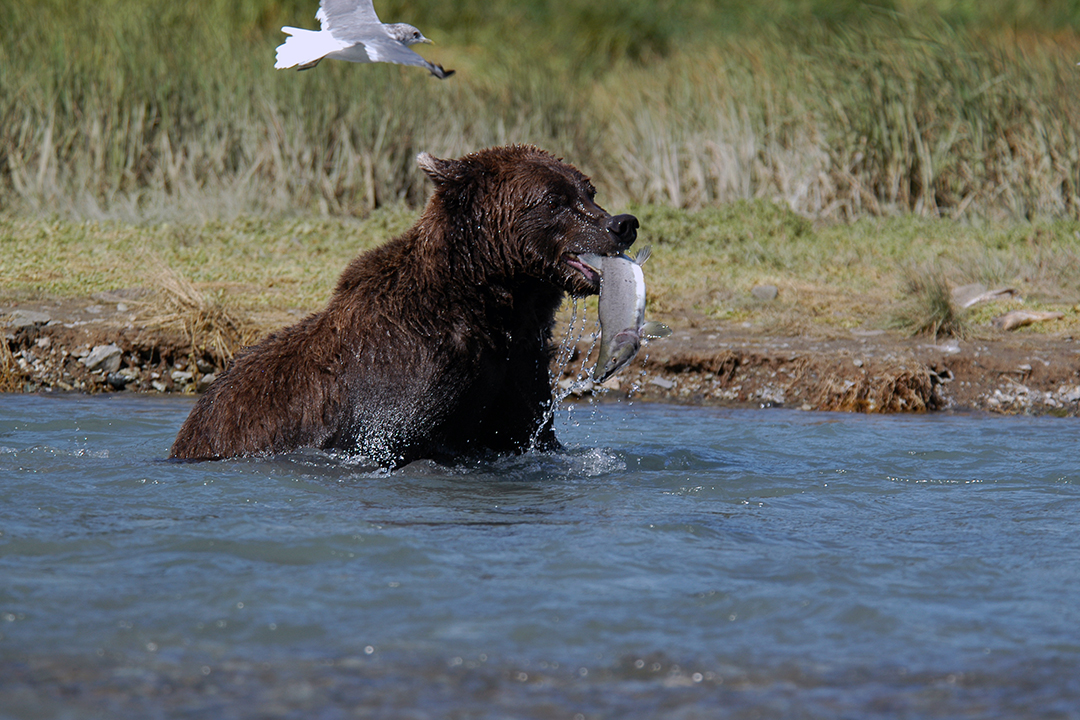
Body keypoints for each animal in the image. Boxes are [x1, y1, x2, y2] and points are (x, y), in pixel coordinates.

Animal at [169, 145, 638, 467]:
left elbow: (529, 431)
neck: (492, 303)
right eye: (553, 199)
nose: (622, 223)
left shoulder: (519, 367)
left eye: (589, 190)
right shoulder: (402, 372)